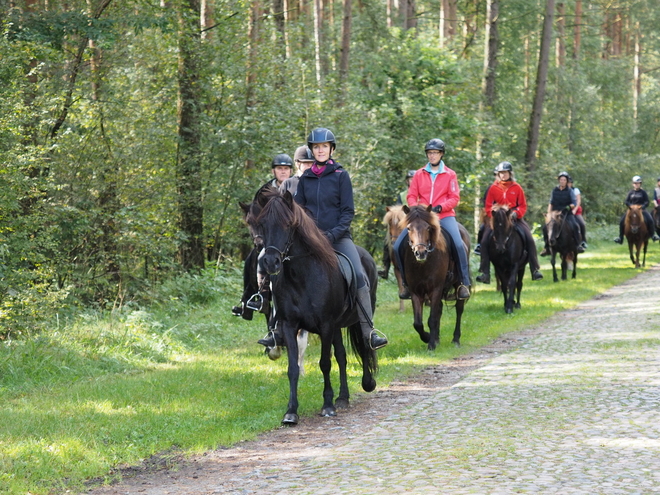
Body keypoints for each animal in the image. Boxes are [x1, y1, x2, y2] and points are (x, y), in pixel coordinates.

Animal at [251, 189, 376, 426]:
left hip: (356, 316)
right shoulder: (289, 326)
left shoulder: (325, 324)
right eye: (262, 224)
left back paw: (367, 383)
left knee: (365, 344)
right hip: (337, 326)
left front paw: (327, 406)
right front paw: (291, 412)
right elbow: (293, 368)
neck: (301, 276)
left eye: (288, 224)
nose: (270, 262)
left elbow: (325, 363)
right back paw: (343, 398)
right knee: (342, 356)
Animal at [398, 205, 470, 352]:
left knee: (459, 309)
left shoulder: (435, 289)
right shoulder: (415, 292)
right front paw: (428, 338)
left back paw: (455, 339)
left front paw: (430, 344)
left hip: (457, 285)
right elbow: (418, 323)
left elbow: (432, 319)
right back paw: (436, 338)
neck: (423, 265)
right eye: (408, 228)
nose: (420, 253)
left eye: (428, 228)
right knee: (439, 310)